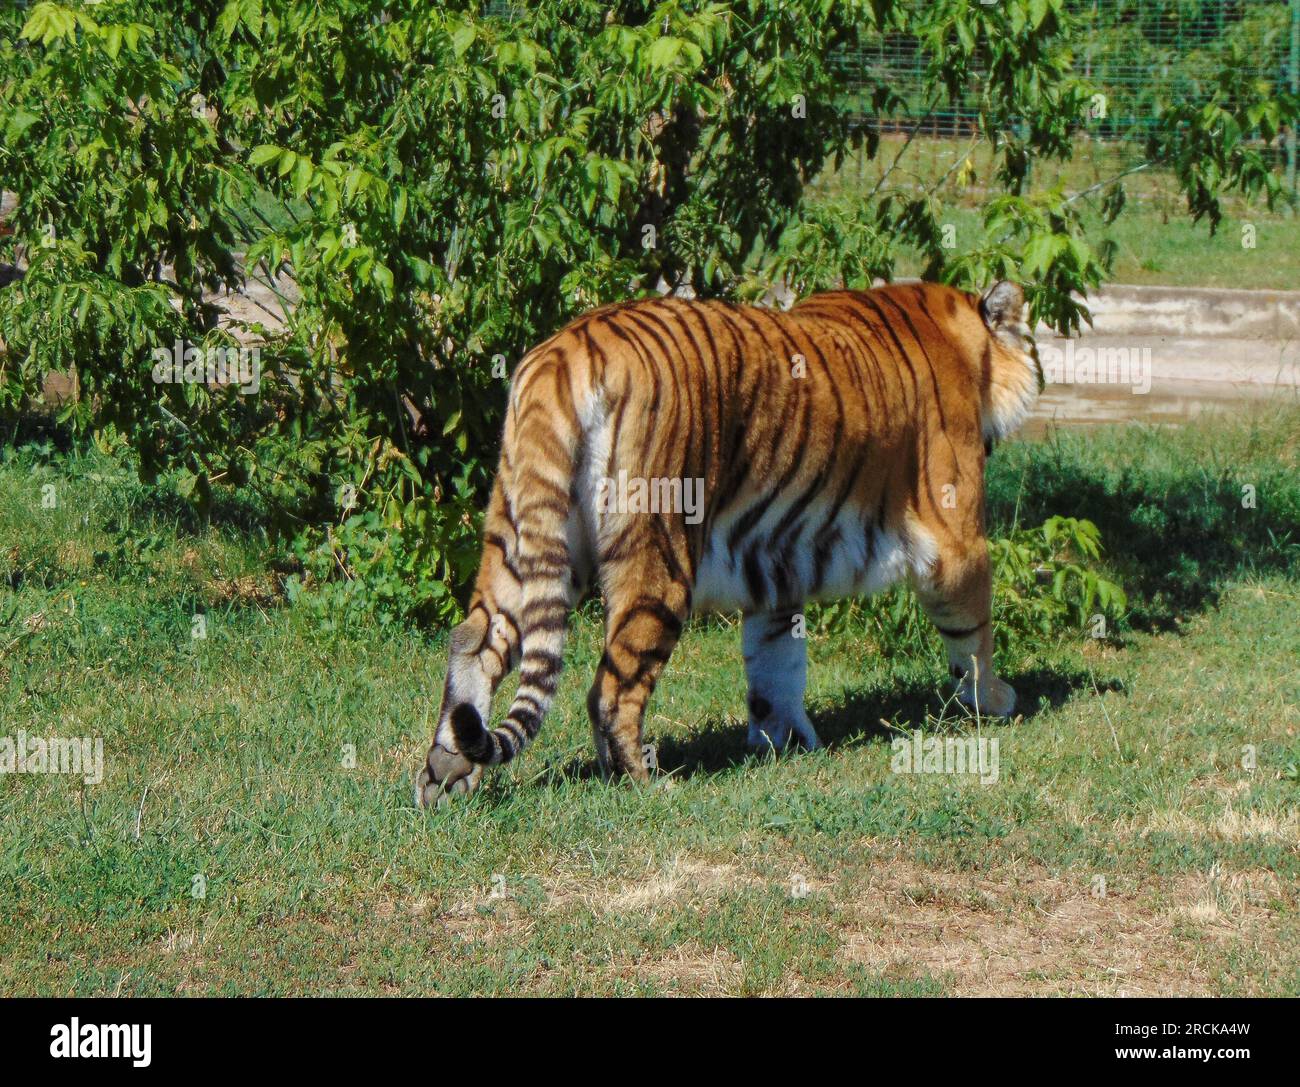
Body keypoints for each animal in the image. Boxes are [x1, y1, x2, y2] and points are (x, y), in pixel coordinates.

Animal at [416, 280, 1040, 805]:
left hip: (521, 531)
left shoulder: (779, 560)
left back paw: (445, 778)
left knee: (473, 642)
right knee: (611, 689)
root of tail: (564, 351)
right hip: (660, 556)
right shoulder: (957, 542)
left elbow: (775, 663)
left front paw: (784, 742)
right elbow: (974, 634)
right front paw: (996, 701)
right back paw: (645, 784)